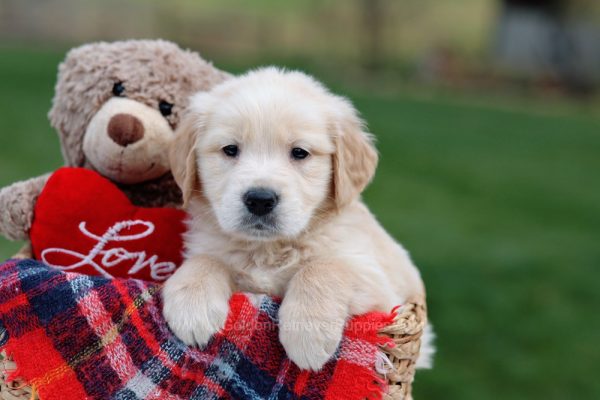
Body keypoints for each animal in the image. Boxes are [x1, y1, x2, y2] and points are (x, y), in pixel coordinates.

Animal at [163, 67, 432, 370]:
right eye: (230, 149)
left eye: (300, 152)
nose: (260, 200)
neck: (266, 248)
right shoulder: (211, 251)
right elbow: (204, 260)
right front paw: (191, 306)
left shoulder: (381, 287)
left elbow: (323, 267)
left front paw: (308, 334)